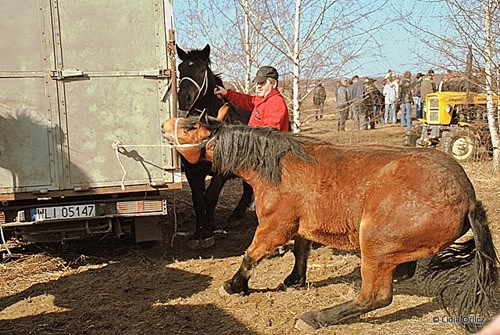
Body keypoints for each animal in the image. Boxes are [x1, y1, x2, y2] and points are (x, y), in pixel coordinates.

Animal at [162, 115, 498, 334]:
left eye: (191, 126)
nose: (165, 125)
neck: (278, 167)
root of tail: (467, 196)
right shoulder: (301, 227)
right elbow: (300, 252)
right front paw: (294, 280)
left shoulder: (274, 229)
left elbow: (251, 256)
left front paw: (234, 286)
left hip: (374, 245)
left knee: (375, 297)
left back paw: (318, 317)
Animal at [176, 44, 254, 249]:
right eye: (181, 69)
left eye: (202, 69)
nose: (184, 98)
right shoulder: (192, 171)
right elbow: (198, 200)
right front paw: (198, 233)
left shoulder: (221, 171)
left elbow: (210, 196)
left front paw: (208, 233)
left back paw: (236, 216)